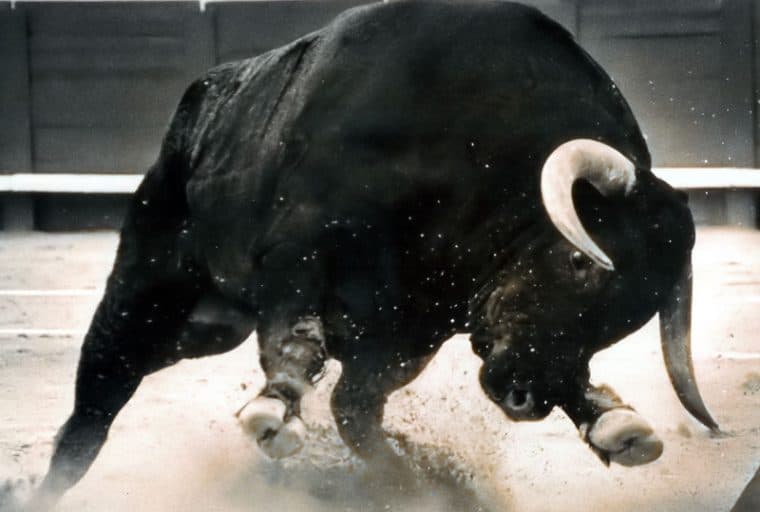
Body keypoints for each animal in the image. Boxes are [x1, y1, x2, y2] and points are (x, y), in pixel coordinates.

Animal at [26, 0, 719, 509]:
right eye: (579, 263)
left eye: (627, 319)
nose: (526, 398)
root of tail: (203, 100)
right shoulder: (298, 254)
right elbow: (299, 345)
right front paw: (276, 411)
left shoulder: (410, 334)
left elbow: (354, 410)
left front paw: (609, 421)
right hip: (146, 295)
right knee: (94, 404)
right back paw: (43, 489)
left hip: (210, 328)